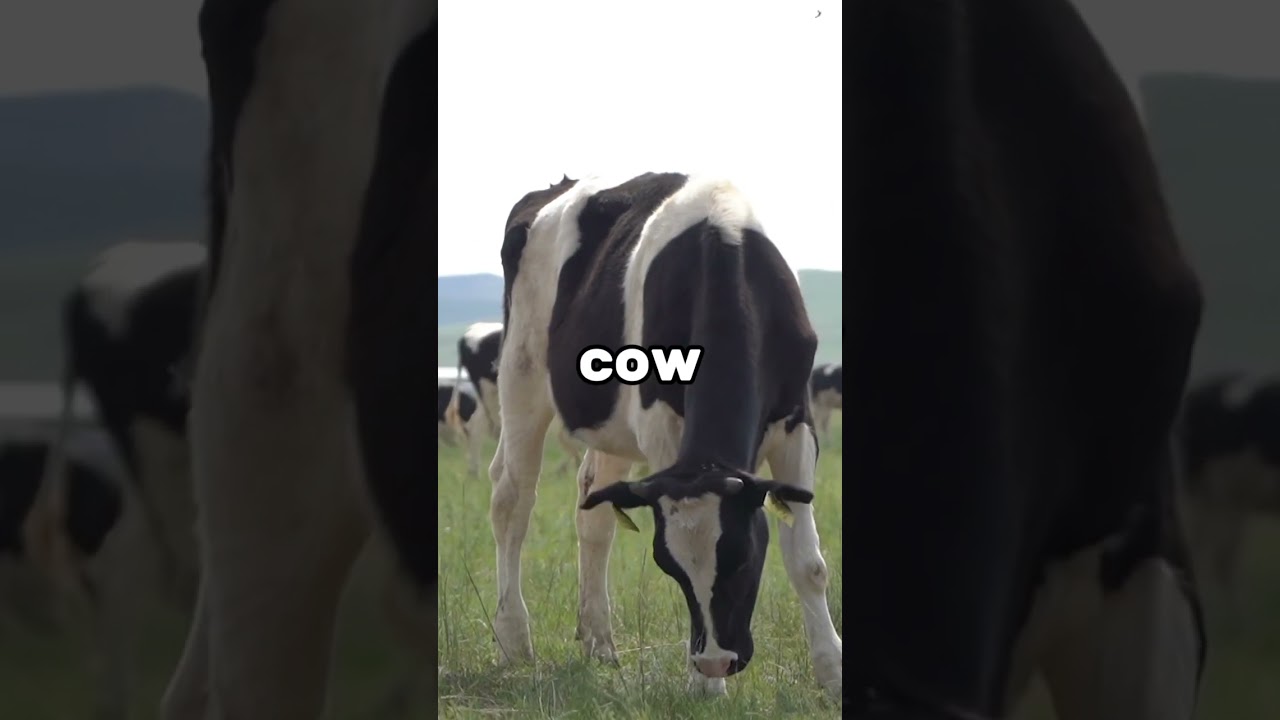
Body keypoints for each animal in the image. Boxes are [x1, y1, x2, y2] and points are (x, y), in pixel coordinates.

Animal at [490, 171, 842, 698]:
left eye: (743, 558)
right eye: (669, 565)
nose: (715, 662)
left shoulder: (798, 424)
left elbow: (808, 565)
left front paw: (832, 671)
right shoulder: (661, 431)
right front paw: (705, 690)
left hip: (608, 423)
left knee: (593, 508)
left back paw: (599, 641)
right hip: (522, 373)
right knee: (513, 500)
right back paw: (514, 637)